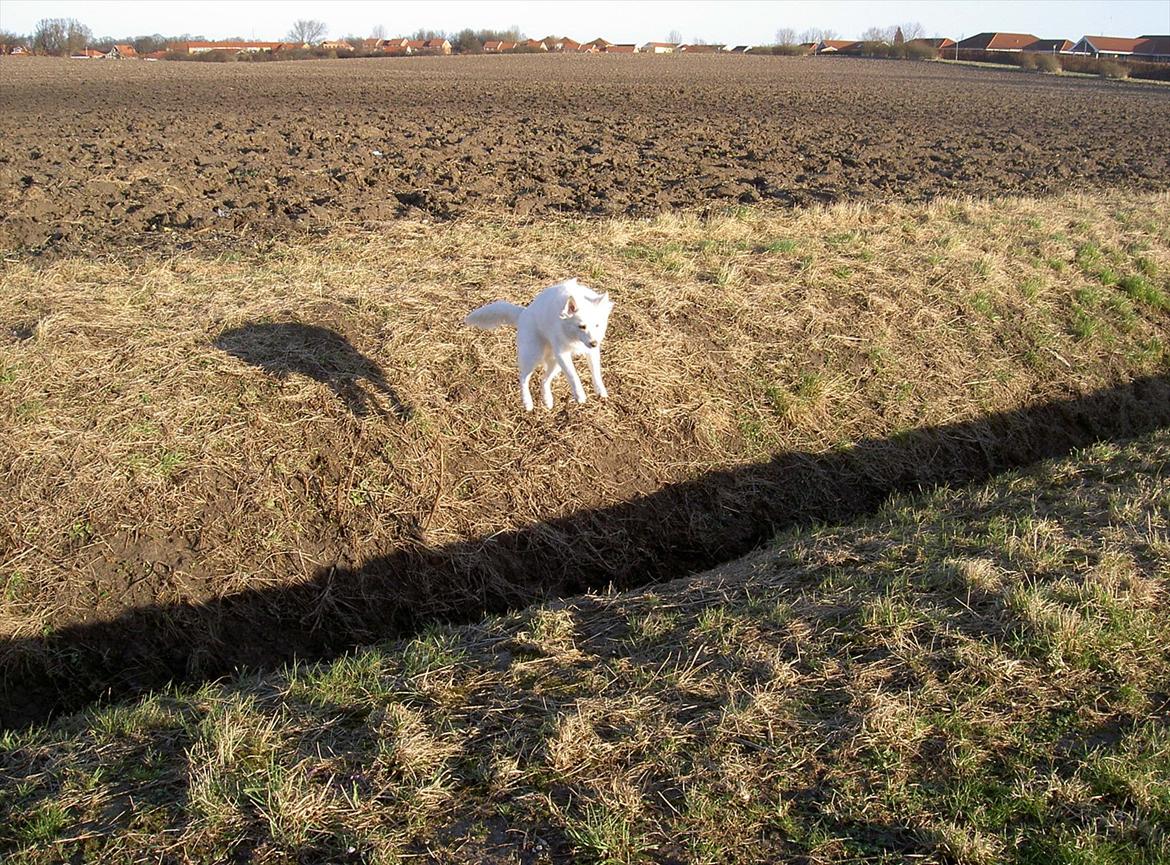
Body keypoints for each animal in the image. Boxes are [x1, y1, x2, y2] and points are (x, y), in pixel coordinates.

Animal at [463, 277, 617, 412]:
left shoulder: (590, 352)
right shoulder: (563, 354)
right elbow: (573, 375)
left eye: (597, 325)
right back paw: (527, 402)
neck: (572, 335)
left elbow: (596, 372)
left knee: (544, 380)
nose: (594, 343)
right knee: (524, 379)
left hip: (555, 363)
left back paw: (547, 400)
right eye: (582, 326)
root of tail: (523, 313)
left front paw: (600, 390)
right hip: (533, 356)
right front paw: (580, 395)